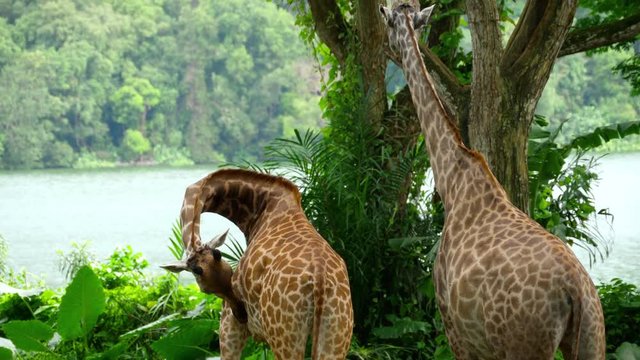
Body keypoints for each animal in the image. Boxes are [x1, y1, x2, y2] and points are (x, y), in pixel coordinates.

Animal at [159, 169, 350, 360]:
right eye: (207, 290)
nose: (242, 314)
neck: (259, 206)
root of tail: (319, 282)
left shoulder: (228, 324)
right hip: (336, 333)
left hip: (283, 334)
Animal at [380, 2, 604, 360]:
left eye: (388, 22)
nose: (390, 48)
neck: (451, 182)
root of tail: (577, 293)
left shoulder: (453, 326)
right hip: (591, 338)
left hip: (524, 344)